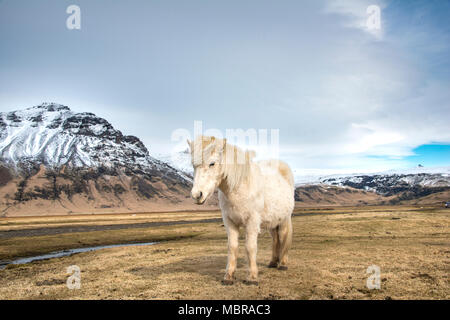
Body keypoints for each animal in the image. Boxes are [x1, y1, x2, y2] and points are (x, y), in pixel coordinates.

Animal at [187, 135, 296, 284]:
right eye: (193, 165)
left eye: (212, 163)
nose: (197, 195)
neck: (239, 187)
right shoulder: (230, 222)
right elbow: (232, 247)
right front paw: (229, 276)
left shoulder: (252, 222)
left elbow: (250, 247)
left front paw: (252, 277)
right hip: (273, 222)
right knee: (275, 239)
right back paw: (273, 262)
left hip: (284, 219)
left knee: (283, 236)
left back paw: (283, 264)